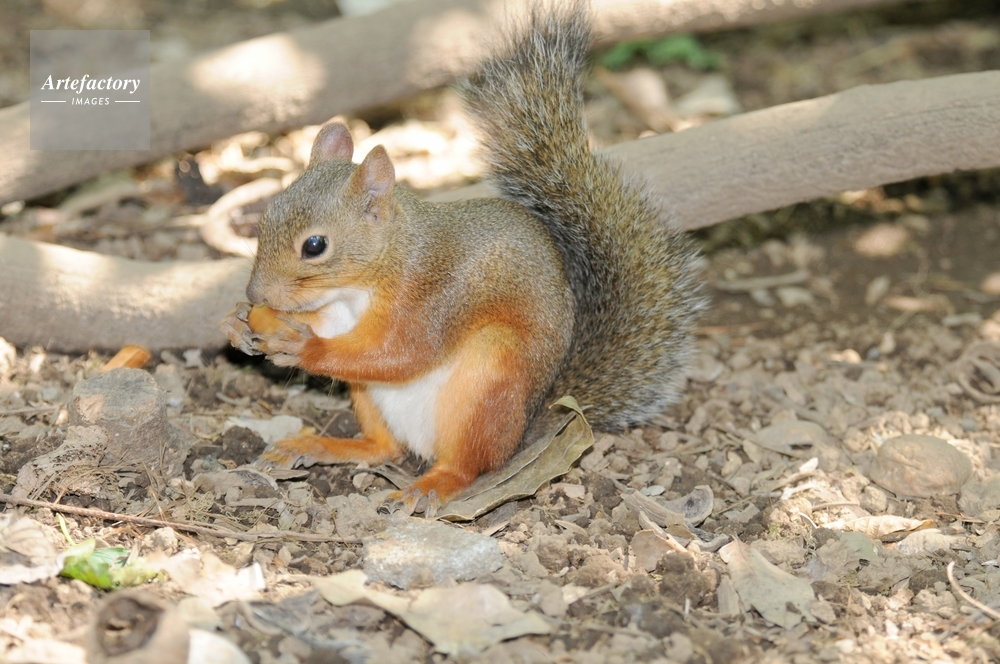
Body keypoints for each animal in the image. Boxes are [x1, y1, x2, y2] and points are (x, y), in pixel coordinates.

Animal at [221, 1, 704, 515]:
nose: (254, 292)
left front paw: (304, 348)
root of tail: (526, 425)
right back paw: (322, 445)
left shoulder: (436, 295)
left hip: (488, 376)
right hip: (371, 399)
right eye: (266, 215)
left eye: (315, 246)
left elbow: (402, 353)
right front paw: (238, 321)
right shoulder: (334, 311)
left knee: (468, 464)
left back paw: (432, 485)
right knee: (384, 448)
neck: (364, 281)